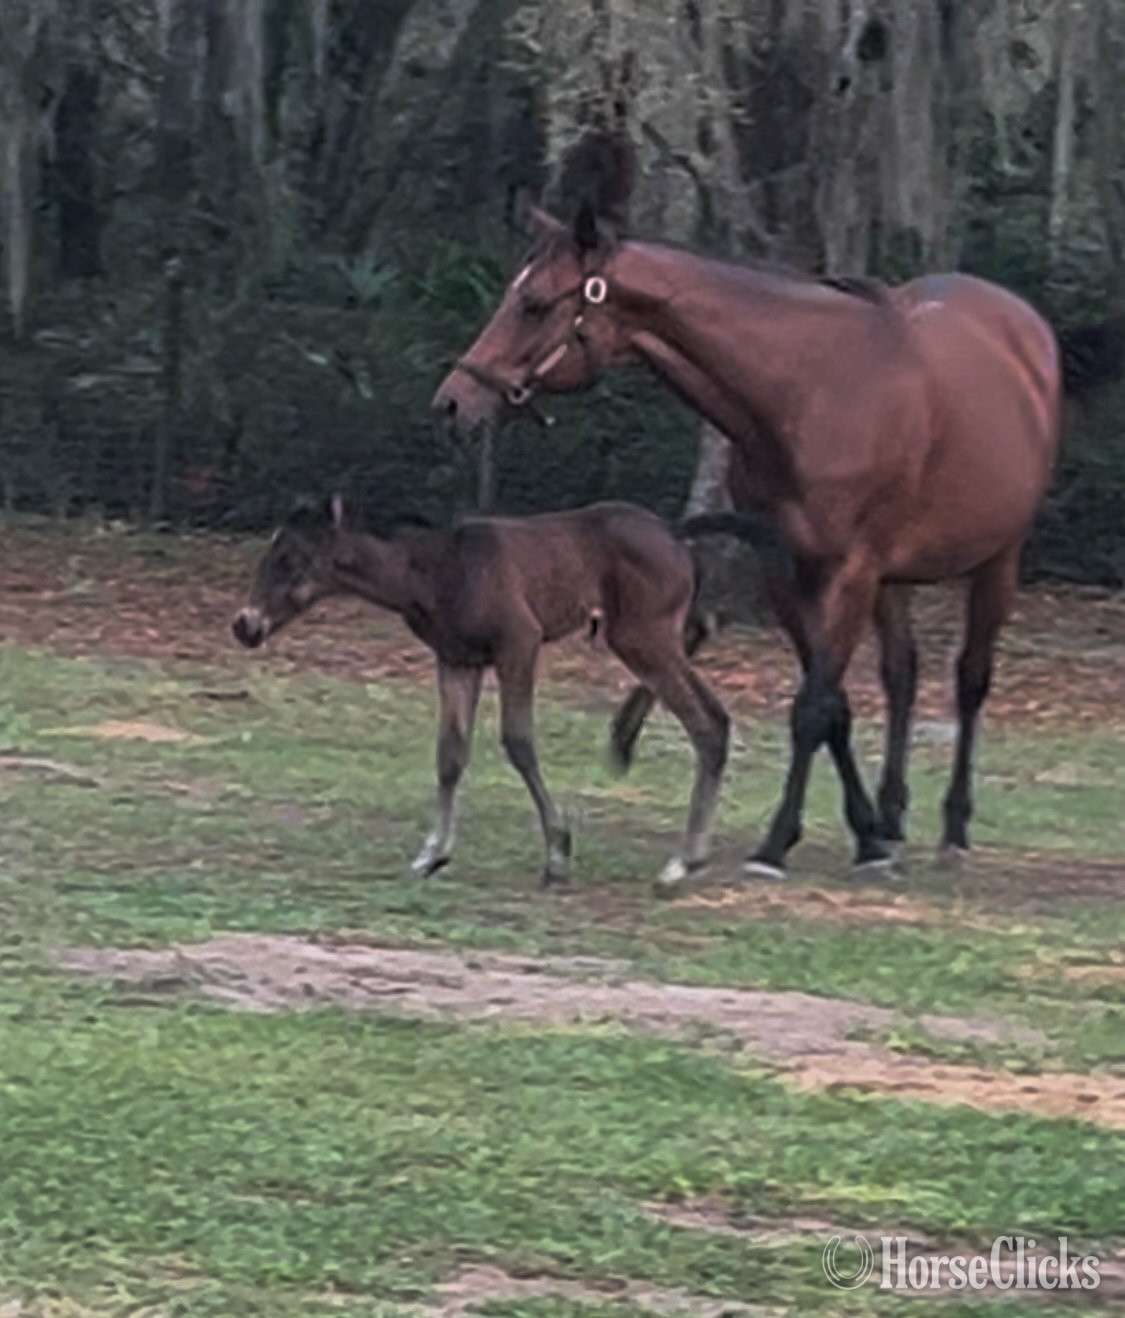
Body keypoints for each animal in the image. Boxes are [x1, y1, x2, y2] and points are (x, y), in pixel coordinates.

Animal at [232, 496, 781, 887]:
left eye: (292, 559)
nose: (245, 625)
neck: (437, 569)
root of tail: (674, 534)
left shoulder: (519, 644)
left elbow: (518, 742)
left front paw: (558, 854)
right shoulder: (458, 661)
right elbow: (450, 754)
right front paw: (432, 853)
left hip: (642, 637)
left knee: (706, 722)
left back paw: (681, 863)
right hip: (648, 640)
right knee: (715, 719)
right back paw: (690, 857)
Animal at [432, 202, 1093, 878]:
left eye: (534, 304)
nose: (453, 403)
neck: (810, 391)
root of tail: (1024, 327)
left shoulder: (849, 573)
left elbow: (813, 708)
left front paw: (777, 841)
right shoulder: (788, 574)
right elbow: (834, 708)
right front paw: (865, 833)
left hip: (996, 559)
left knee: (970, 680)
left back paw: (954, 828)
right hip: (894, 580)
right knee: (902, 677)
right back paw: (891, 817)